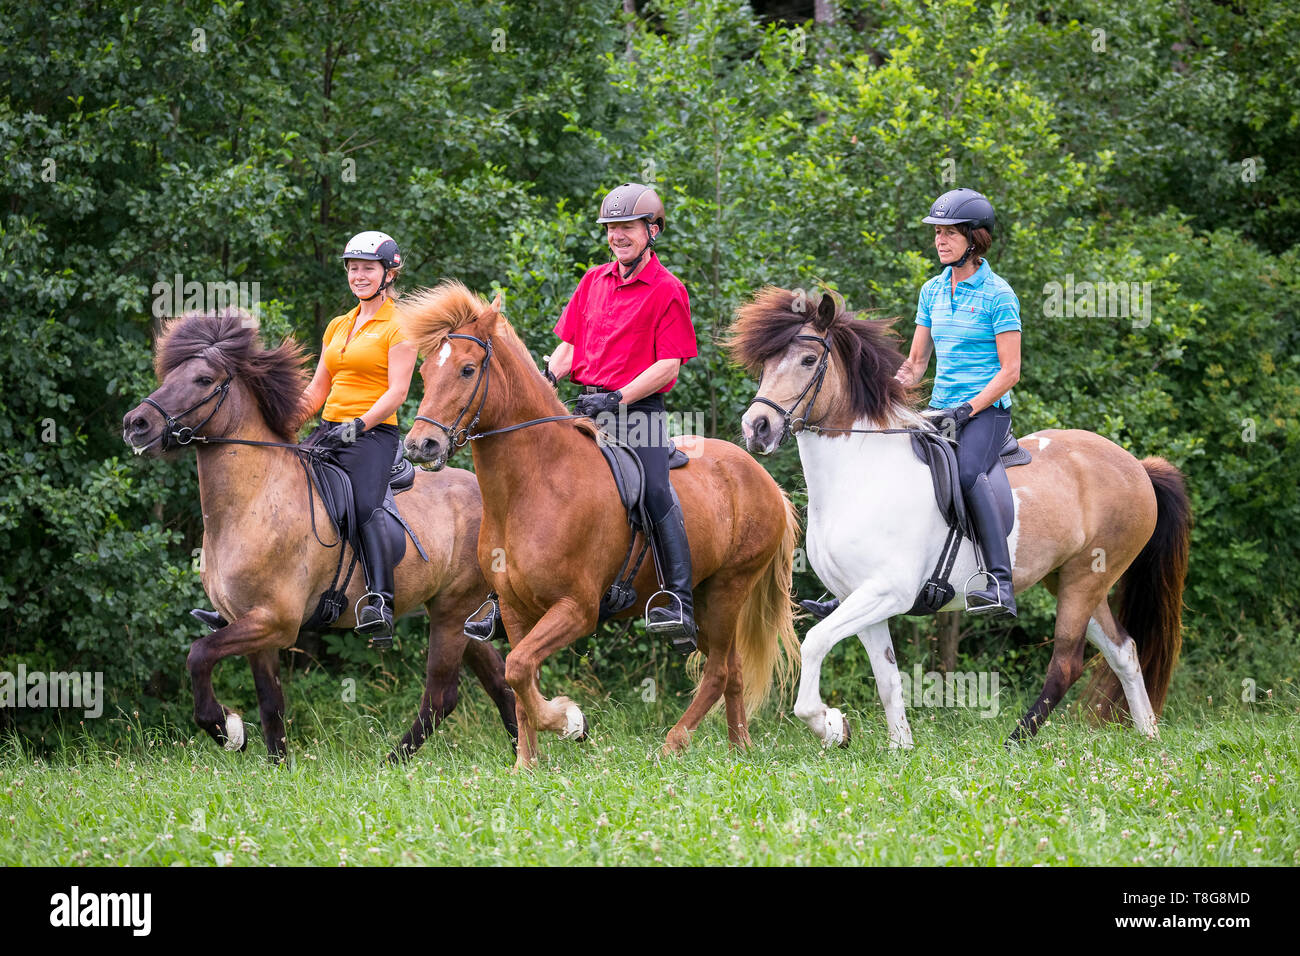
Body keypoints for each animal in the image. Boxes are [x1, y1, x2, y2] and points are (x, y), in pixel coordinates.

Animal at [122, 312, 517, 764]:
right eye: (169, 375)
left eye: (204, 379)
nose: (135, 424)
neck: (254, 500)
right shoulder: (251, 624)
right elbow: (271, 704)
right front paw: (276, 767)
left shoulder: (275, 621)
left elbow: (198, 654)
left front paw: (227, 730)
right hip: (456, 612)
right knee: (498, 679)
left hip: (452, 611)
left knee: (441, 696)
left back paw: (391, 764)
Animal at [400, 278, 795, 770]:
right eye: (424, 373)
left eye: (468, 370)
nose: (421, 445)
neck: (534, 485)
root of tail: (761, 477)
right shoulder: (513, 608)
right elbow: (517, 675)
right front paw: (527, 763)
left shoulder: (576, 608)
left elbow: (520, 669)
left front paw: (568, 721)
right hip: (705, 604)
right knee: (733, 667)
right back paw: (739, 748)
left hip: (727, 590)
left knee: (720, 669)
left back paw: (673, 743)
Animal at [728, 287, 1190, 749]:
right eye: (766, 363)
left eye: (808, 360)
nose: (757, 428)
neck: (861, 475)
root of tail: (1137, 467)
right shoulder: (858, 596)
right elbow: (887, 678)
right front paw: (898, 747)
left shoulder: (886, 591)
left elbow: (815, 642)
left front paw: (831, 725)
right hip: (1071, 578)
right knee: (1124, 651)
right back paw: (1149, 736)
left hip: (1086, 577)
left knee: (1066, 664)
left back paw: (1016, 741)